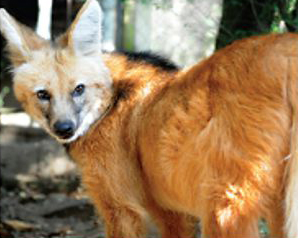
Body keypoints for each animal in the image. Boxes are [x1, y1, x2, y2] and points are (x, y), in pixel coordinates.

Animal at [0, 0, 298, 238]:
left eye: (79, 89)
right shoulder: (168, 210)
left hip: (224, 205)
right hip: (276, 205)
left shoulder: (121, 206)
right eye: (43, 94)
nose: (64, 128)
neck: (110, 101)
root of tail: (286, 50)